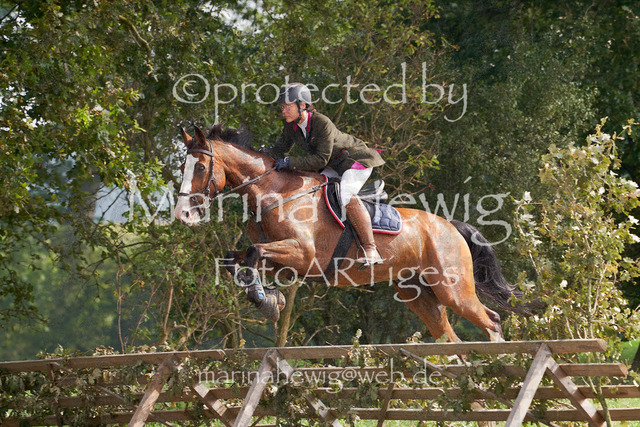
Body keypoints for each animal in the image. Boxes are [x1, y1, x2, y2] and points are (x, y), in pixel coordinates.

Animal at [174, 123, 529, 343]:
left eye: (201, 167)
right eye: (181, 168)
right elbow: (237, 259)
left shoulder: (305, 255)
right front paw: (267, 298)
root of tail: (451, 226)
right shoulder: (283, 258)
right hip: (418, 294)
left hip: (453, 289)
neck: (273, 193)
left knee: (491, 321)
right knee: (449, 339)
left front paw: (266, 300)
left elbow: (253, 253)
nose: (183, 214)